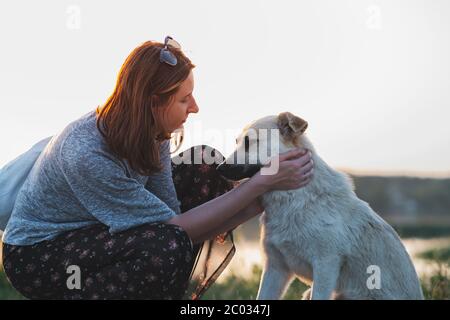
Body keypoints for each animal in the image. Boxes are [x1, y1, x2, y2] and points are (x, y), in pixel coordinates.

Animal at [216, 112, 424, 300]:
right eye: (237, 141)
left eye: (249, 142)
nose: (218, 168)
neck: (293, 199)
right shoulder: (276, 267)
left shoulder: (325, 265)